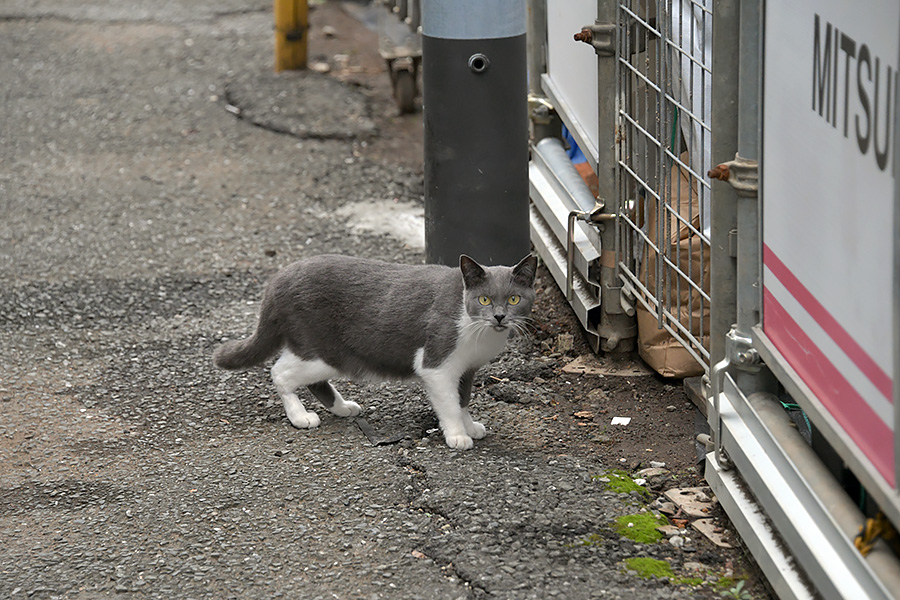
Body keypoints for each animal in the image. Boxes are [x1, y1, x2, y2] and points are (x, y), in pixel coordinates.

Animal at [214, 253, 536, 450]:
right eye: (484, 299)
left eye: (514, 299)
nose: (499, 317)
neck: (479, 332)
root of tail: (279, 279)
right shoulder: (437, 364)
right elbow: (449, 404)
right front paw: (457, 435)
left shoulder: (467, 369)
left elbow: (463, 400)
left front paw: (470, 426)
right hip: (322, 350)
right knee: (280, 372)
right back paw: (300, 417)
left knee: (311, 381)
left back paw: (343, 408)